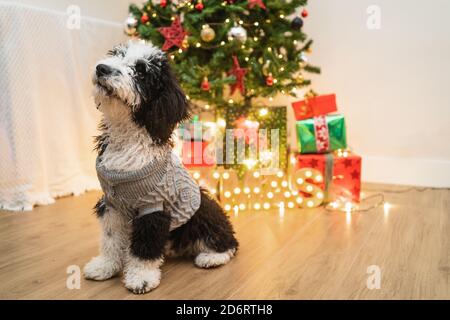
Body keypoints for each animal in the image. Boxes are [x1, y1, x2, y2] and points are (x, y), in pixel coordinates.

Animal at [84, 41, 239, 294]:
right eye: (117, 55)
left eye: (141, 71)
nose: (102, 68)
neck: (127, 141)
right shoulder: (112, 203)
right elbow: (110, 239)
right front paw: (105, 266)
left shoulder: (153, 208)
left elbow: (145, 249)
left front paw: (141, 278)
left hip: (203, 209)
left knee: (229, 242)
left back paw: (211, 257)